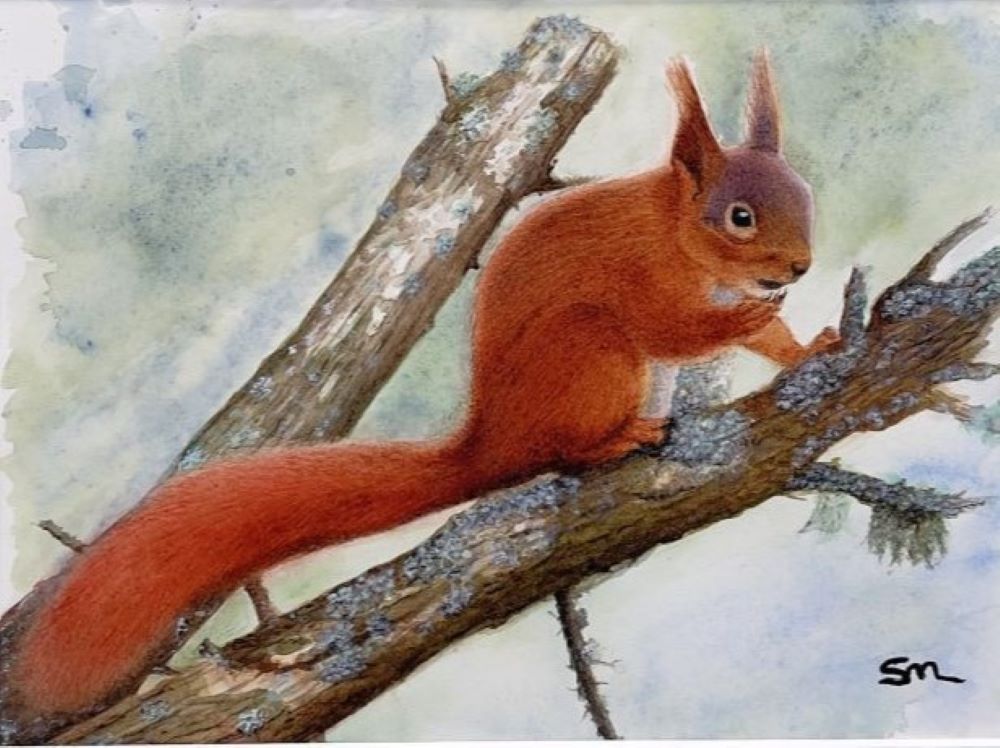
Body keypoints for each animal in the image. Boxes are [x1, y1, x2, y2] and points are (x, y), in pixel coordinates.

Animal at [7, 51, 838, 717]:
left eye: (805, 199)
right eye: (738, 216)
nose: (798, 267)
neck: (676, 233)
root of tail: (492, 444)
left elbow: (764, 342)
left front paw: (809, 345)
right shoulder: (641, 282)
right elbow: (673, 329)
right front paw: (755, 317)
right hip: (590, 351)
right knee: (567, 447)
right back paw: (616, 440)